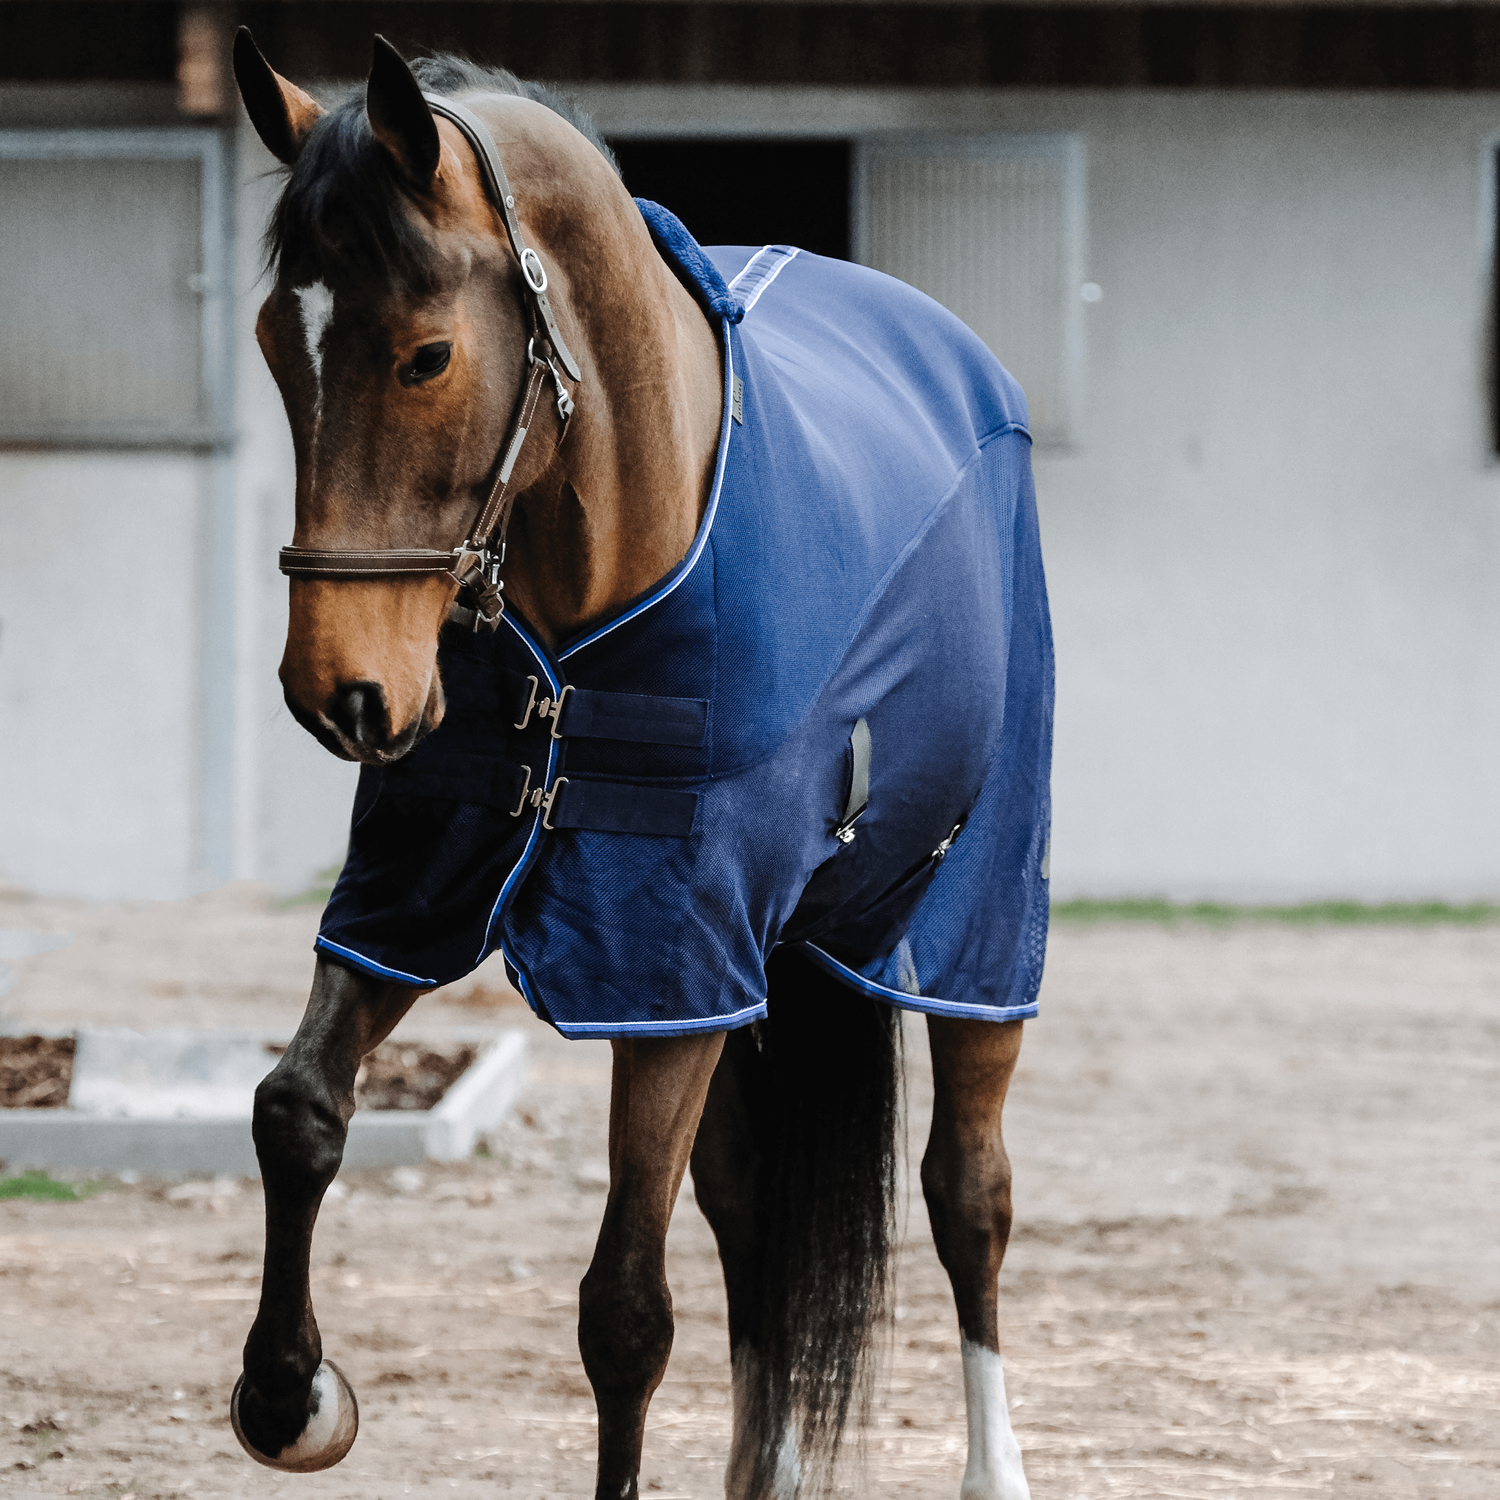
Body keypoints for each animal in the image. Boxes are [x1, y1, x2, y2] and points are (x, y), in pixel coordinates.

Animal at [228, 29, 1051, 1500]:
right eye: (279, 341)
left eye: (428, 356)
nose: (341, 694)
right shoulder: (418, 887)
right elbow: (294, 1107)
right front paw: (288, 1393)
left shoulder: (665, 956)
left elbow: (623, 1308)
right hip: (756, 974)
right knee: (753, 1207)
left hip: (971, 922)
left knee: (969, 1194)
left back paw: (992, 1465)